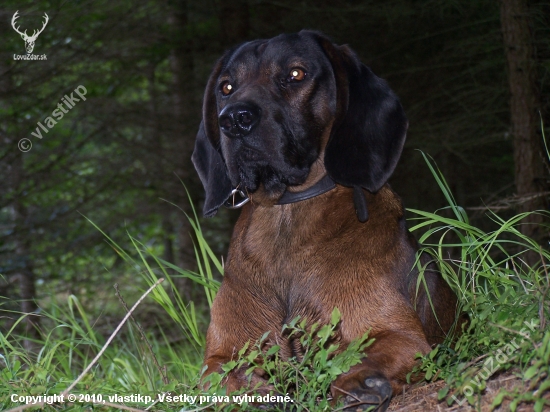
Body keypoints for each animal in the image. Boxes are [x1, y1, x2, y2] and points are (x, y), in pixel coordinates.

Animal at [192, 30, 460, 410]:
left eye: (296, 74)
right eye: (226, 87)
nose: (234, 119)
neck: (288, 212)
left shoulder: (400, 334)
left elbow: (370, 352)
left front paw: (360, 380)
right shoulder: (222, 354)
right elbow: (222, 378)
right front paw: (254, 393)